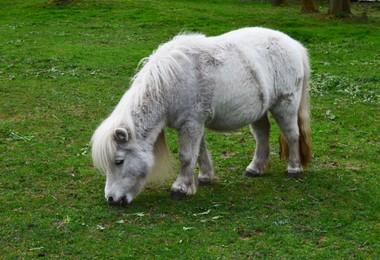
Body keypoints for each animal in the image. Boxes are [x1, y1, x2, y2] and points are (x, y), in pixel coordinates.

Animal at [90, 27, 310, 206]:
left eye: (119, 161)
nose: (111, 199)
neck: (170, 84)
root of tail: (295, 46)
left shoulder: (191, 123)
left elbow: (187, 155)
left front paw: (180, 188)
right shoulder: (196, 123)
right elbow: (200, 151)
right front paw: (204, 177)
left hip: (286, 106)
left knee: (292, 134)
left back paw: (293, 168)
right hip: (259, 111)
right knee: (262, 134)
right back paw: (255, 168)